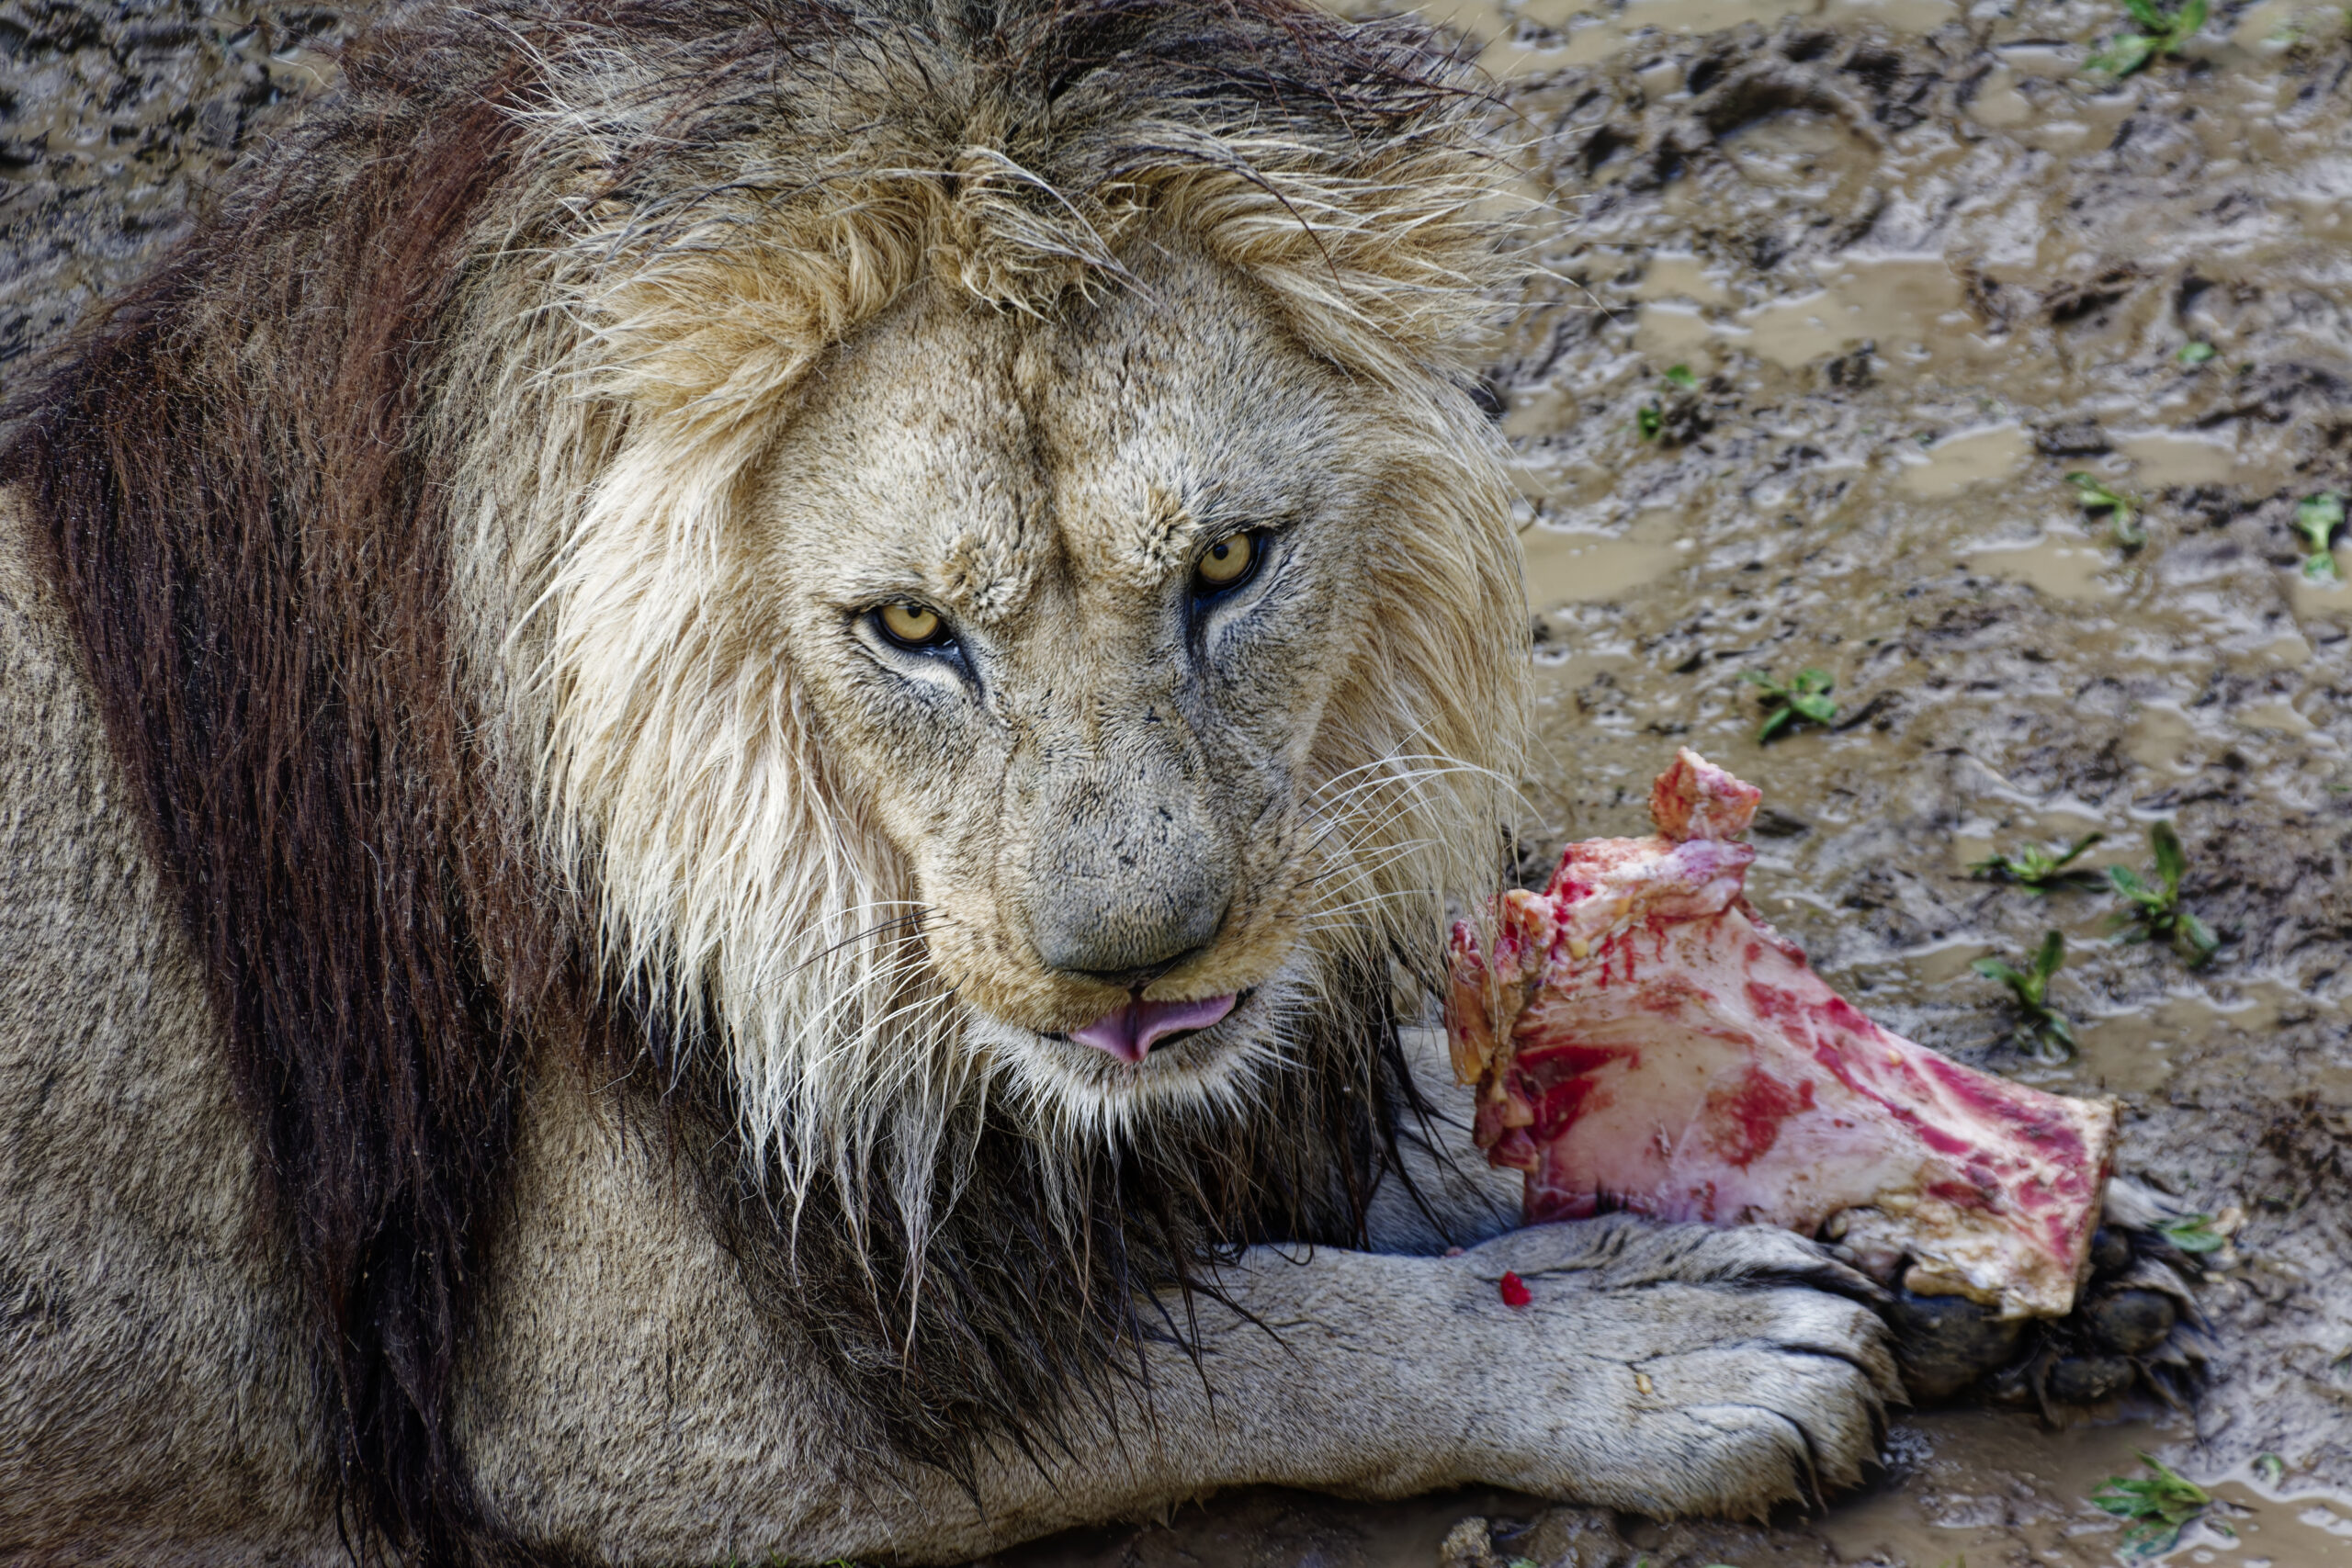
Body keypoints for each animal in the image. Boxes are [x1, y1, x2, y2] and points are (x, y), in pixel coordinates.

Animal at [0, 0, 1895, 1561]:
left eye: (1227, 562)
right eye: (912, 626)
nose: (1135, 964)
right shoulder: (636, 1421)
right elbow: (1263, 1342)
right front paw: (1664, 1350)